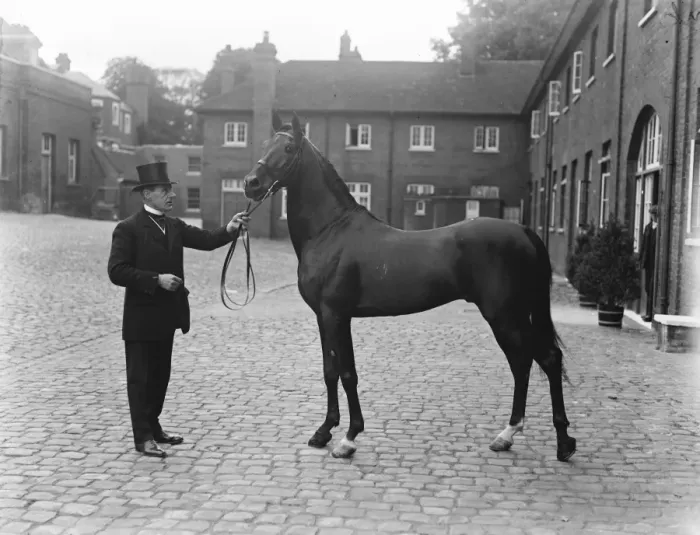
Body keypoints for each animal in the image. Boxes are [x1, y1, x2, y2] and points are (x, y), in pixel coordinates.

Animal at [242, 111, 576, 462]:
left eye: (288, 147)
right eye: (265, 144)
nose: (251, 183)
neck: (330, 230)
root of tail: (524, 231)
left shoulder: (336, 315)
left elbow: (348, 373)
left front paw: (349, 437)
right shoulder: (324, 317)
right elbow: (330, 371)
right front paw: (323, 432)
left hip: (504, 316)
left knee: (541, 359)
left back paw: (557, 441)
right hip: (513, 315)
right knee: (526, 363)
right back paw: (514, 436)